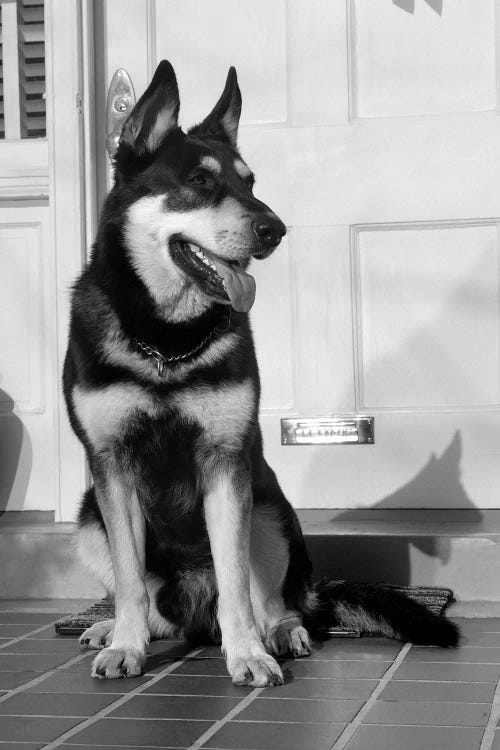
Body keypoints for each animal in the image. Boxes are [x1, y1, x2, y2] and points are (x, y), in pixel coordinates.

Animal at [64, 61, 458, 692]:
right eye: (200, 182)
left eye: (250, 183)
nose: (275, 229)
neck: (167, 340)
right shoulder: (112, 469)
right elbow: (128, 583)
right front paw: (125, 643)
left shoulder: (227, 466)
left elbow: (237, 586)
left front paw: (246, 653)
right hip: (87, 516)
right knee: (152, 607)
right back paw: (116, 628)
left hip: (270, 507)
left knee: (276, 599)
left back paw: (281, 632)